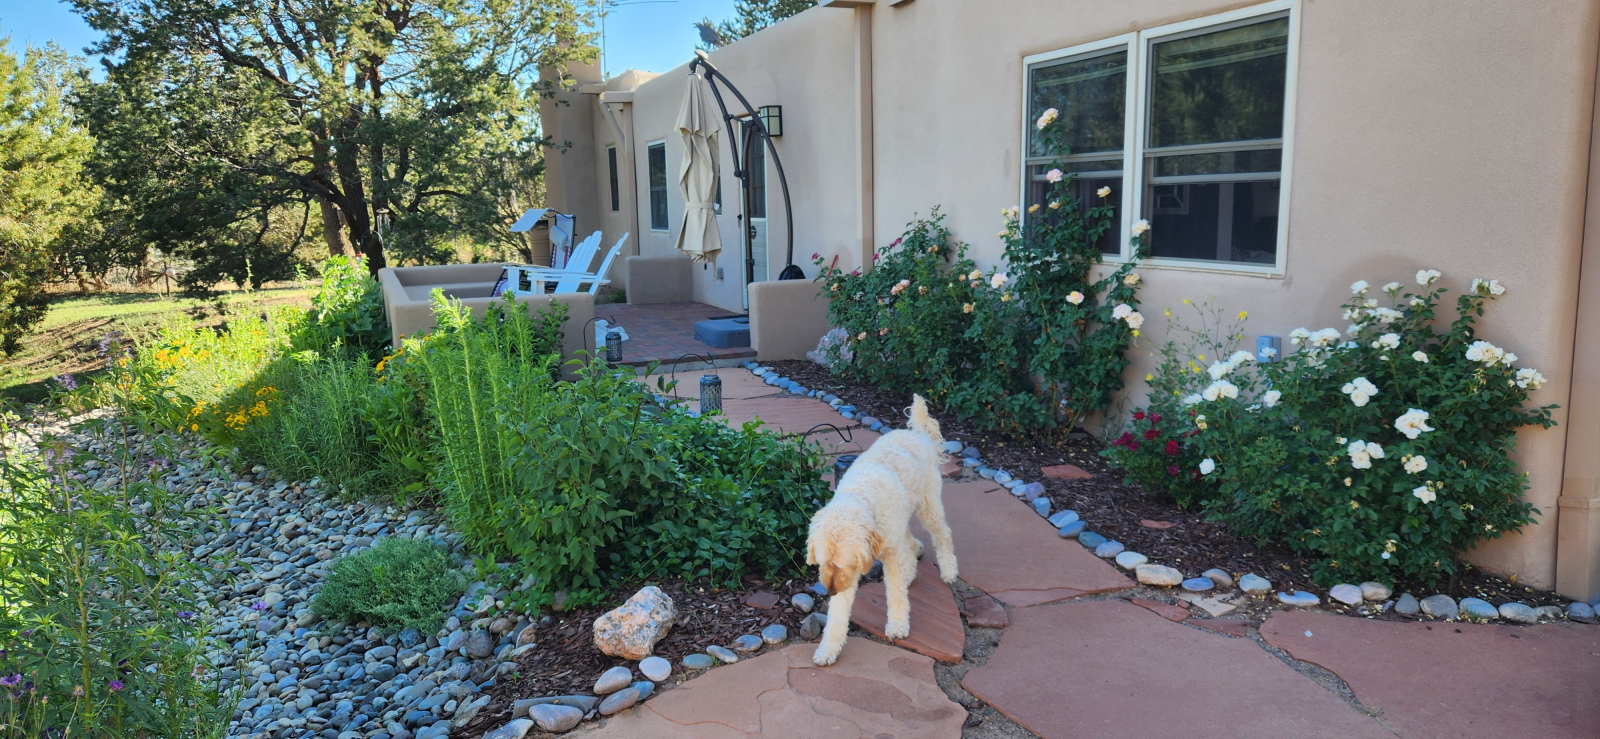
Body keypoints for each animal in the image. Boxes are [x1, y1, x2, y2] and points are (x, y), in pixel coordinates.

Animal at [805, 394, 957, 666]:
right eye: (822, 564)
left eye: (841, 564)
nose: (830, 591)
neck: (861, 496)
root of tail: (917, 434)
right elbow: (837, 615)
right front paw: (828, 649)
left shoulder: (879, 558)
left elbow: (896, 595)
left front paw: (897, 626)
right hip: (901, 517)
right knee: (908, 539)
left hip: (928, 505)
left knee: (942, 534)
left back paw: (949, 570)